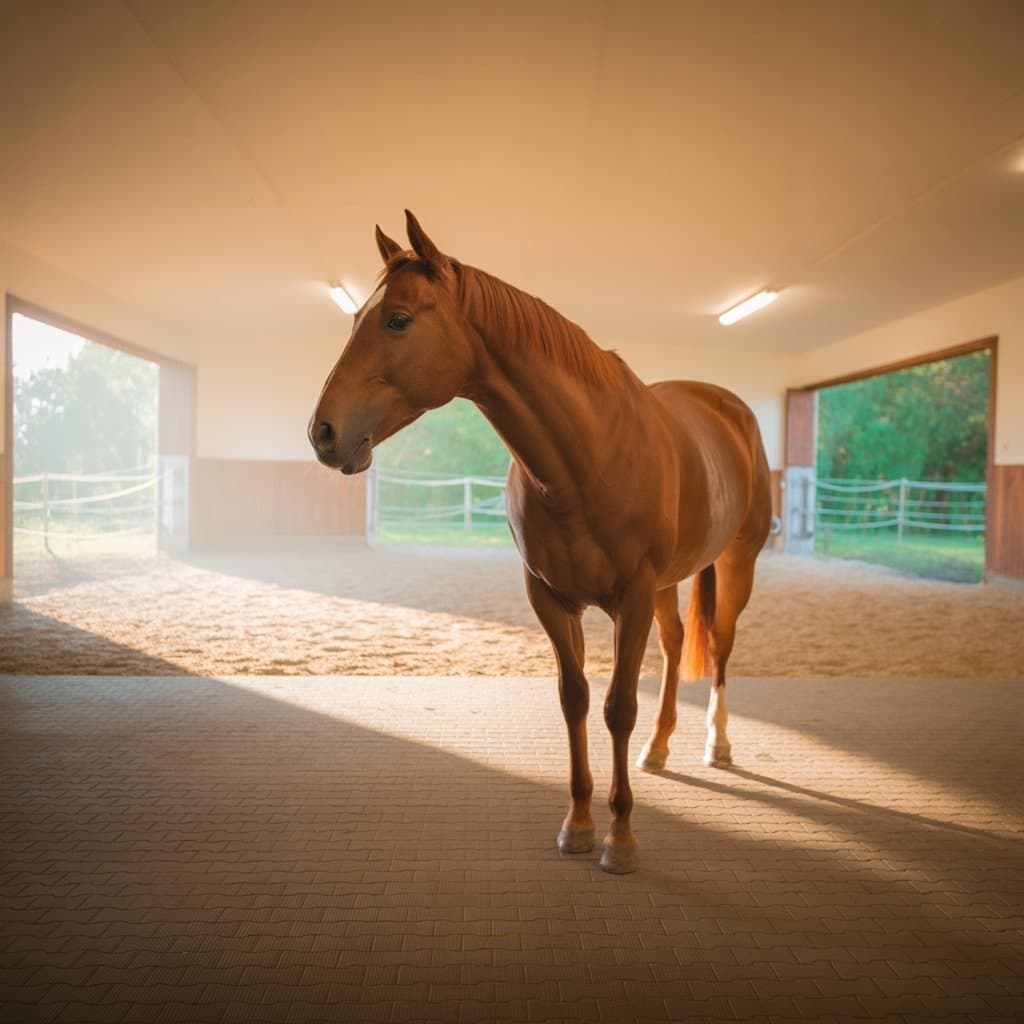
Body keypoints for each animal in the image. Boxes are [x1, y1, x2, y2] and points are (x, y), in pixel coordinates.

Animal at [310, 212, 772, 873]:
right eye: (354, 320)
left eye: (397, 319)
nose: (323, 433)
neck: (586, 456)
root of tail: (729, 407)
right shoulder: (551, 599)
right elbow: (574, 698)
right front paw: (578, 823)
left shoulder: (630, 599)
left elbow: (617, 707)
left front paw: (620, 838)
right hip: (667, 584)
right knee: (677, 641)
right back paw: (658, 749)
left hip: (736, 564)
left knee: (721, 646)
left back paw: (719, 743)